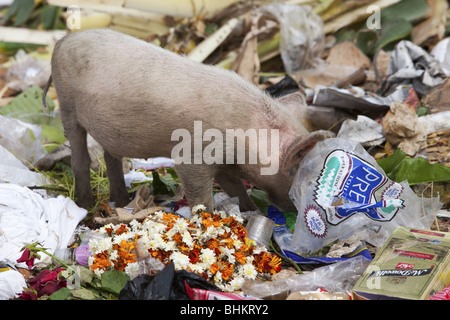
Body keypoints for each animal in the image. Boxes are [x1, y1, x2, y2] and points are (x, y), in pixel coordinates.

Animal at [44, 28, 330, 212]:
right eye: (298, 172)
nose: (294, 210)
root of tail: (62, 41)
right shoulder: (194, 156)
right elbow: (202, 196)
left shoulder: (225, 163)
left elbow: (235, 187)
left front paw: (250, 212)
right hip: (66, 104)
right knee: (80, 156)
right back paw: (85, 206)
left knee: (110, 157)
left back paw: (122, 202)